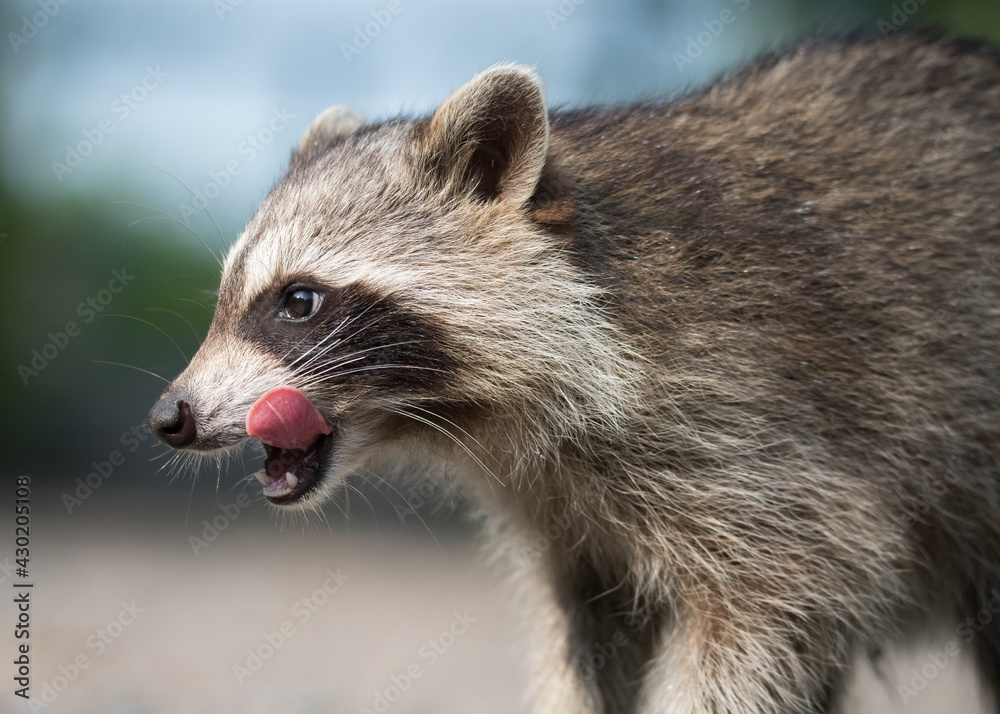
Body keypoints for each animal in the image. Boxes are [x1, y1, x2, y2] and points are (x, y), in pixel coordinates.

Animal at [148, 32, 1000, 714]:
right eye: (226, 300)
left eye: (297, 302)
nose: (169, 417)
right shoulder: (567, 520)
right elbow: (592, 637)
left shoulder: (753, 420)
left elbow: (781, 595)